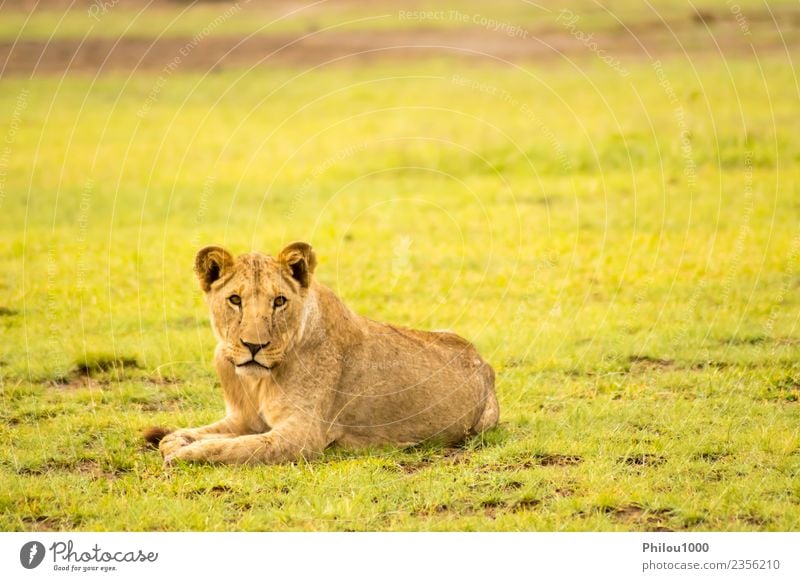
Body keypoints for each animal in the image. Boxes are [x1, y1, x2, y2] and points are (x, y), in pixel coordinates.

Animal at [152, 242, 496, 464]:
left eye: (279, 301)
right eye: (235, 300)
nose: (254, 346)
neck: (257, 381)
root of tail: (483, 361)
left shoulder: (302, 435)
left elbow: (237, 448)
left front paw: (185, 454)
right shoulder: (242, 419)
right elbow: (195, 435)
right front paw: (178, 441)